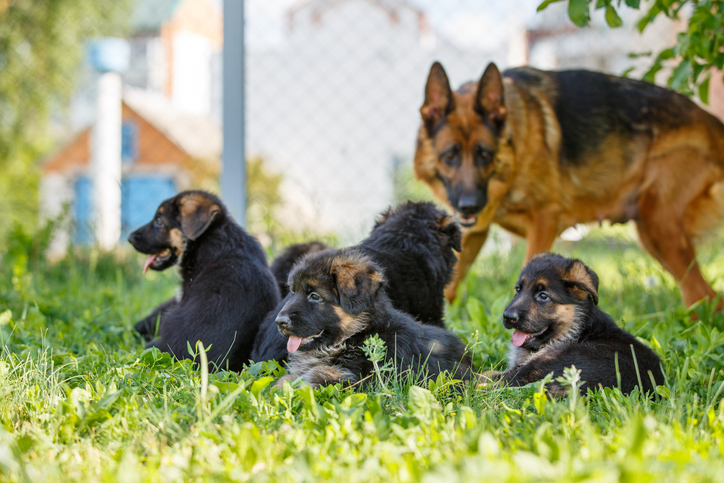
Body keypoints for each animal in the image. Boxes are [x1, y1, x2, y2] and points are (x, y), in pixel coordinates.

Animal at [274, 250, 472, 390]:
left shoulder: (352, 379)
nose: (279, 322)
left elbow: (309, 381)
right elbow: (283, 380)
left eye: (315, 296)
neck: (354, 335)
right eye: (293, 291)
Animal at [412, 63, 724, 310]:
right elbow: (452, 283)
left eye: (484, 154)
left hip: (659, 227)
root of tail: (712, 122)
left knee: (704, 295)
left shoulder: (544, 219)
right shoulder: (474, 232)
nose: (469, 206)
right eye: (449, 156)